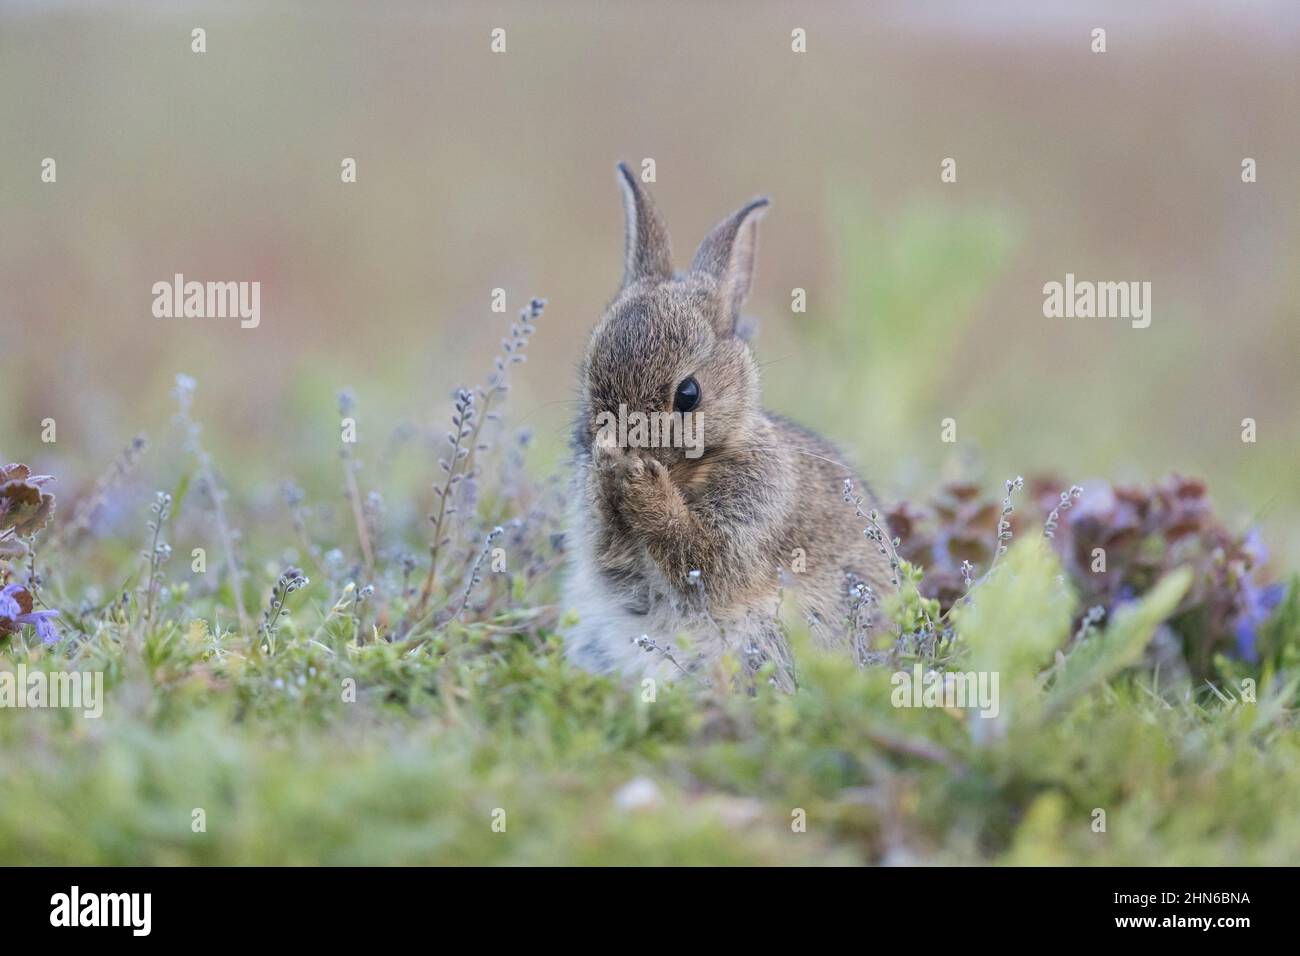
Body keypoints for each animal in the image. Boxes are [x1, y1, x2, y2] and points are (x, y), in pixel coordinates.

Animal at [564, 164, 899, 686]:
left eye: (688, 395)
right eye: (589, 378)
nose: (617, 440)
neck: (690, 469)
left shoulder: (752, 518)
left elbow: (702, 556)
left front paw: (638, 481)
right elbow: (608, 551)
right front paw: (608, 471)